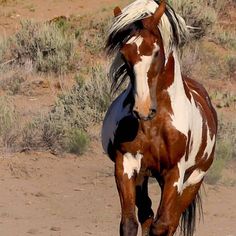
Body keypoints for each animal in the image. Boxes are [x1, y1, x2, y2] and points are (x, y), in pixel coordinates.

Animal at [101, 0, 218, 235]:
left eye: (155, 52)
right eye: (124, 54)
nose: (143, 109)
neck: (155, 124)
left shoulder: (174, 173)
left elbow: (162, 225)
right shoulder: (126, 164)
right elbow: (130, 223)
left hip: (193, 179)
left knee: (170, 221)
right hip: (144, 176)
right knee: (147, 214)